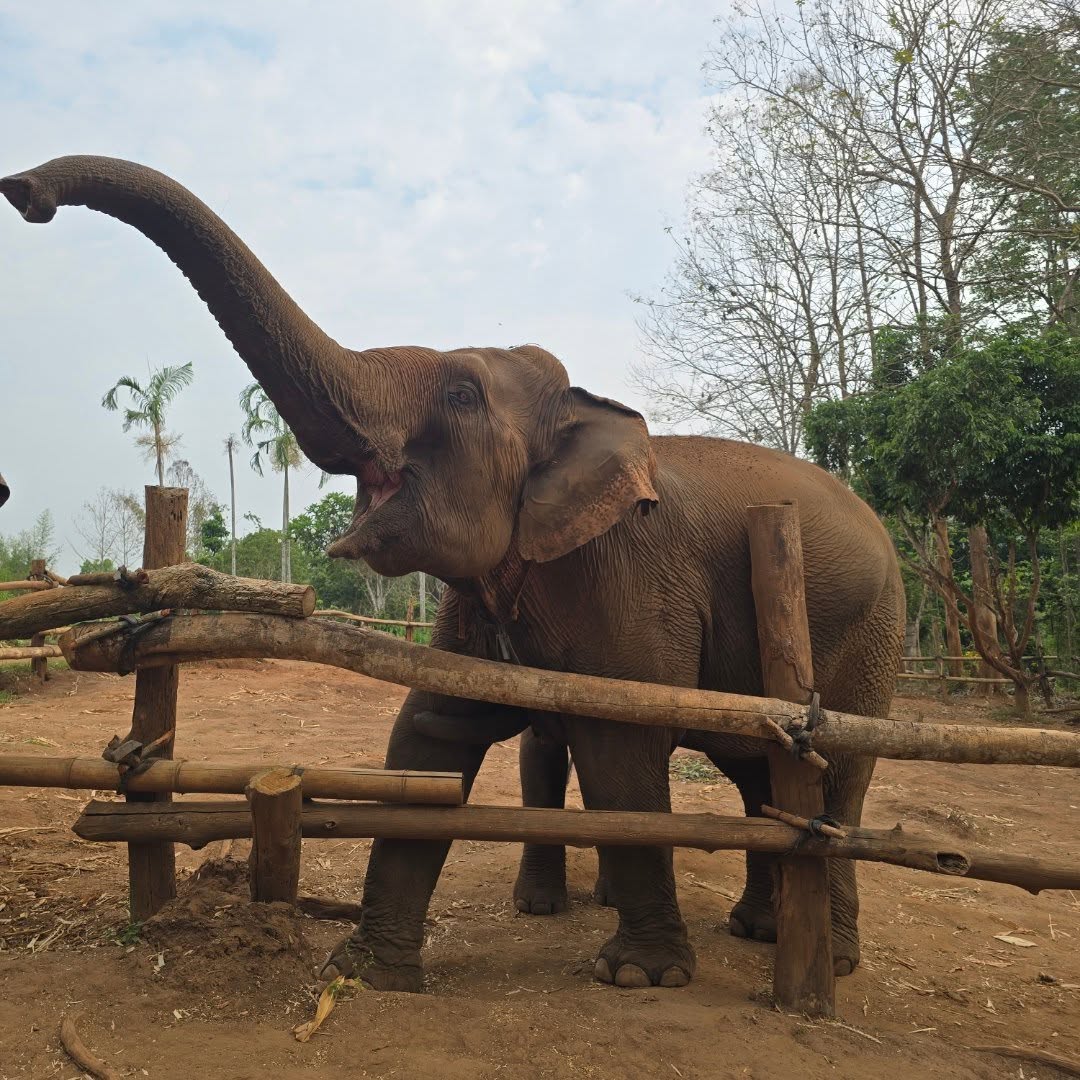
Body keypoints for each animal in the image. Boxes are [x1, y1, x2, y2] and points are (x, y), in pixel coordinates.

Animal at [1, 156, 904, 992]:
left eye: (463, 394)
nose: (24, 193)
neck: (585, 413)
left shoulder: (631, 583)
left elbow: (622, 752)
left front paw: (637, 978)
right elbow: (428, 738)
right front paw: (366, 971)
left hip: (872, 635)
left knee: (838, 776)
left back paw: (834, 959)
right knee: (759, 772)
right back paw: (759, 928)